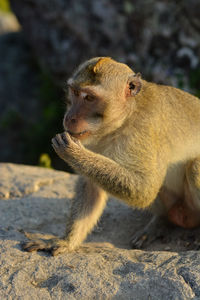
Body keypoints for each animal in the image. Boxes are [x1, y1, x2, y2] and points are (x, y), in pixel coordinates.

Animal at [21, 56, 200, 255]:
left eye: (90, 98)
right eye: (75, 92)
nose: (69, 117)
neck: (123, 120)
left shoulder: (144, 132)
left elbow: (145, 189)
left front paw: (73, 154)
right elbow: (91, 187)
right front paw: (66, 242)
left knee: (194, 167)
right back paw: (161, 222)